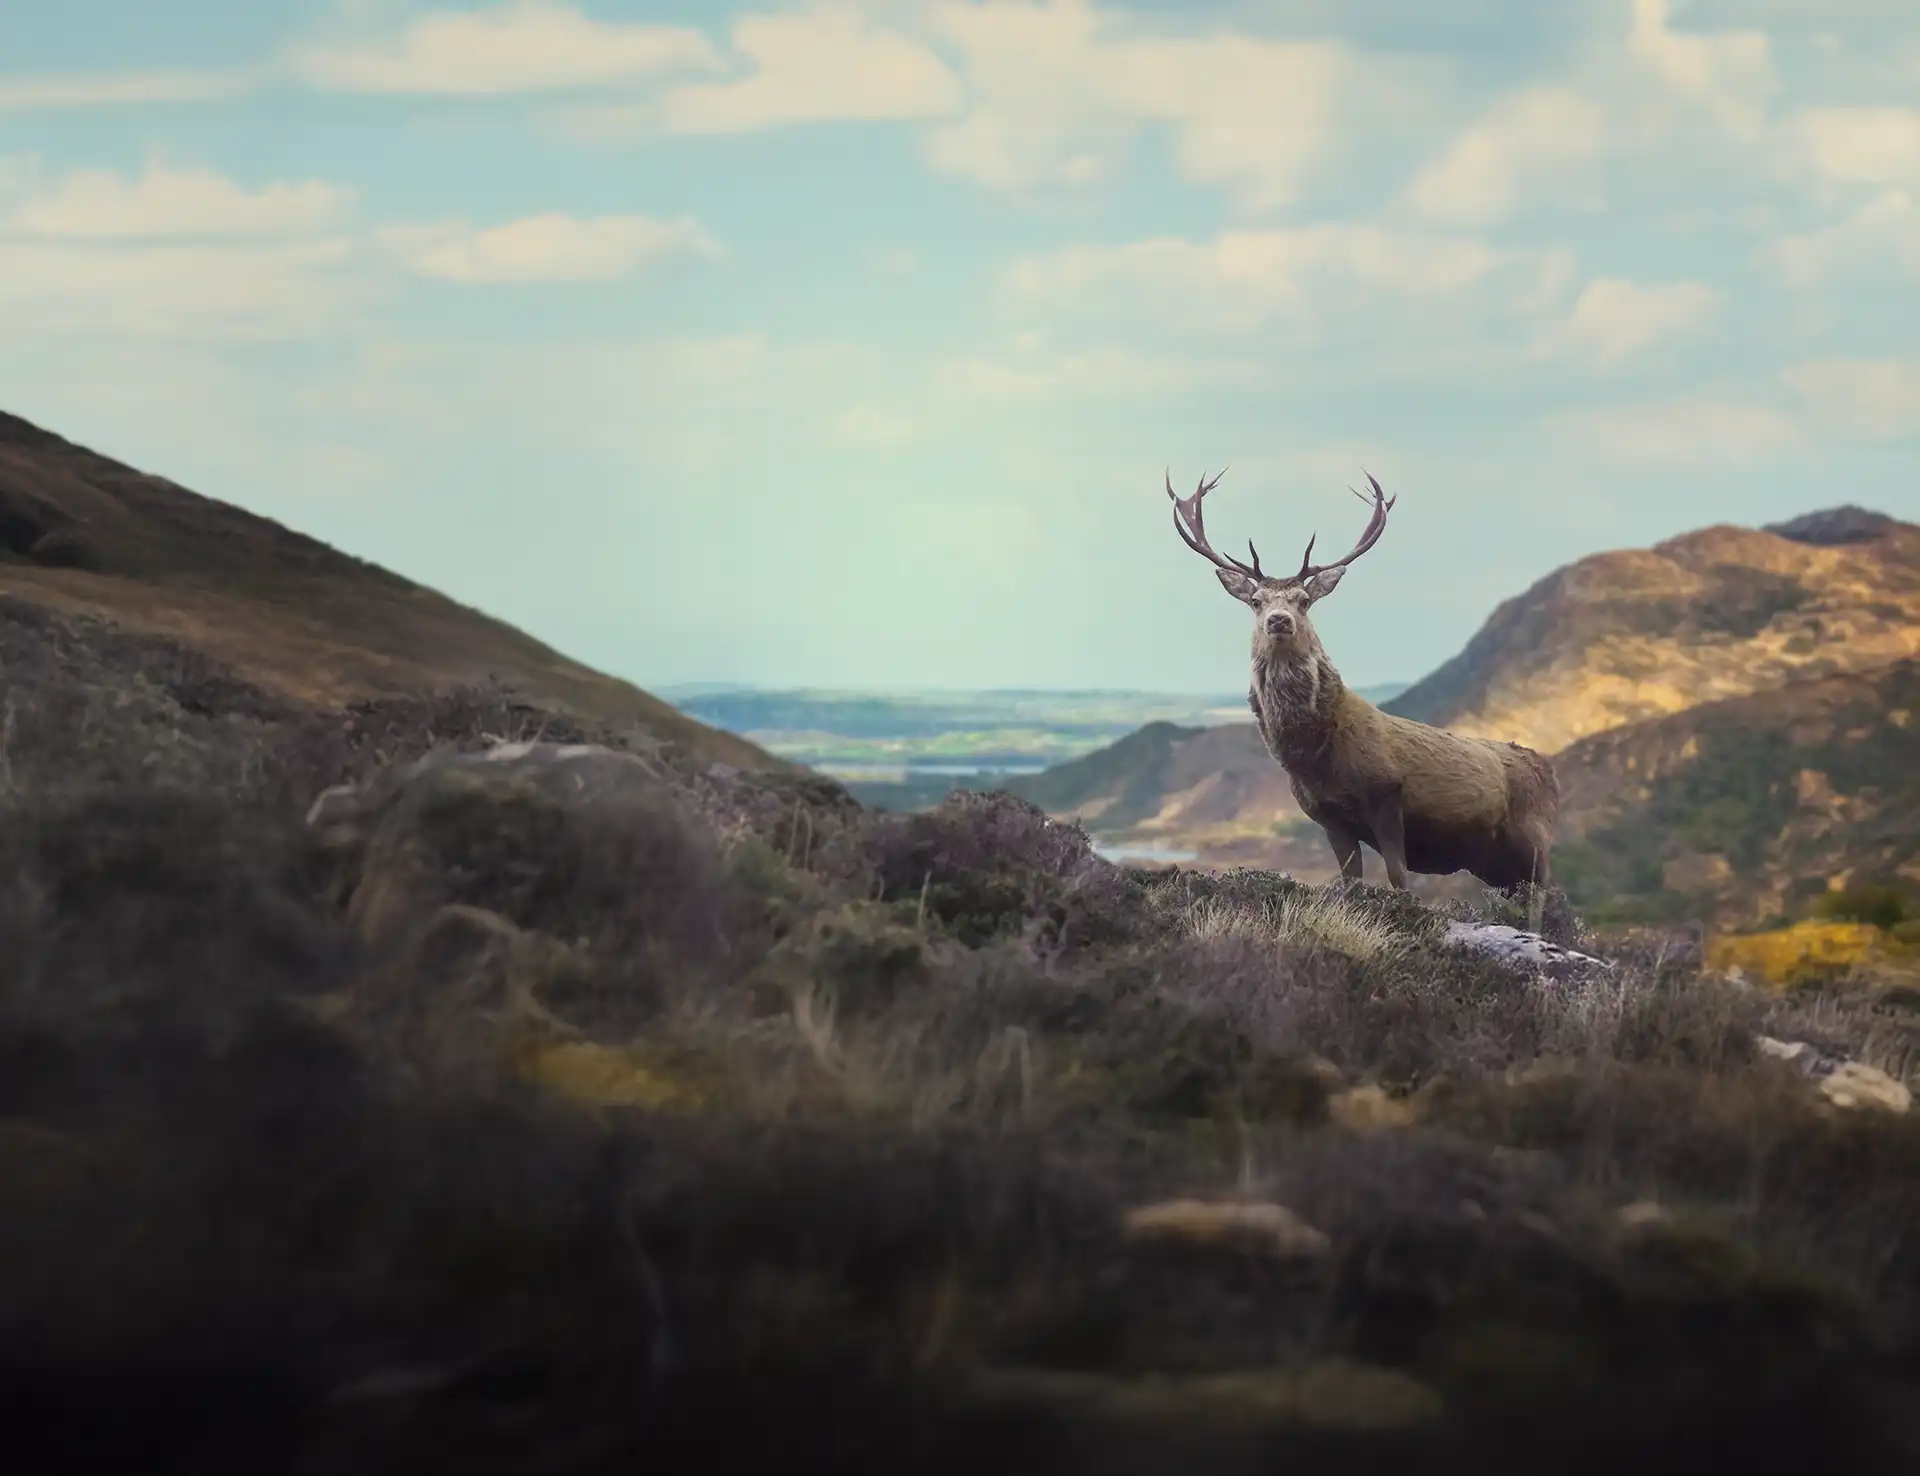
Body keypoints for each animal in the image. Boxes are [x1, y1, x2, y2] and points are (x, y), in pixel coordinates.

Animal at [1166, 468, 1558, 894]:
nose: (1279, 621)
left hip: (1533, 841)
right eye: (1256, 602)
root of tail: (1550, 773)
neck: (1315, 758)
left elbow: (1398, 876)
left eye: (1304, 600)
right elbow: (1350, 879)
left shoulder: (1386, 793)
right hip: (1495, 862)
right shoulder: (1325, 815)